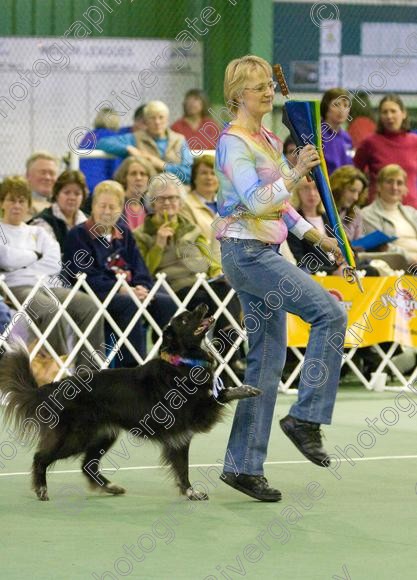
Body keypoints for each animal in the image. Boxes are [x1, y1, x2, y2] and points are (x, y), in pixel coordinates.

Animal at [0, 306, 258, 500]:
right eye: (185, 319)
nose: (204, 304)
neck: (182, 362)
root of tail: (56, 386)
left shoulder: (182, 434)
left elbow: (183, 465)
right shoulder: (194, 416)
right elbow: (218, 399)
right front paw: (191, 493)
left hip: (104, 434)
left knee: (88, 465)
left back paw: (110, 487)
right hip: (77, 436)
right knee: (41, 457)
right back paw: (42, 489)